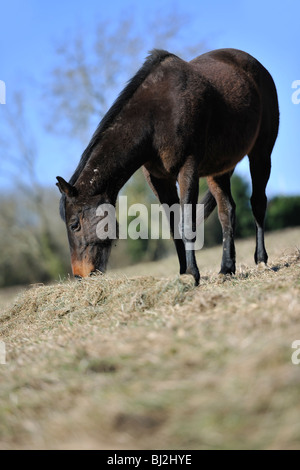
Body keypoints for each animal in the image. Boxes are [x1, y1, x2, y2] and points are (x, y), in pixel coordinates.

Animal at [56, 47, 278, 284]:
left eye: (74, 224)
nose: (80, 275)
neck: (155, 116)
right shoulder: (159, 180)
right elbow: (173, 225)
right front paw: (183, 274)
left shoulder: (187, 168)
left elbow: (186, 222)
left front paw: (192, 273)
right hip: (218, 170)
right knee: (227, 211)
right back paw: (226, 269)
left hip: (261, 153)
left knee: (258, 202)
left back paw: (261, 259)